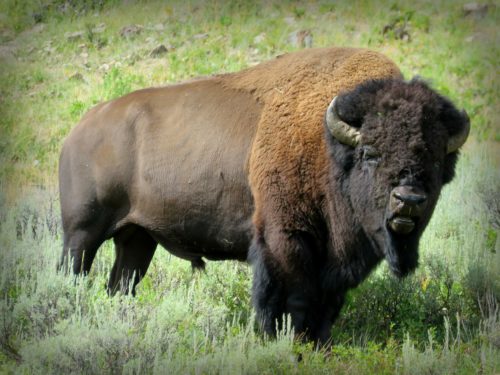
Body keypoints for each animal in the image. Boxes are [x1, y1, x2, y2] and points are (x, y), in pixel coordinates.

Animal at [58, 48, 468, 346]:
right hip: (82, 234)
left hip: (138, 238)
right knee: (73, 273)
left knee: (120, 283)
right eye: (370, 152)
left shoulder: (337, 260)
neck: (328, 145)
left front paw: (320, 342)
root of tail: (80, 128)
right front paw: (287, 339)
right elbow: (294, 297)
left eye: (434, 159)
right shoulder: (284, 239)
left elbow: (328, 302)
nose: (408, 199)